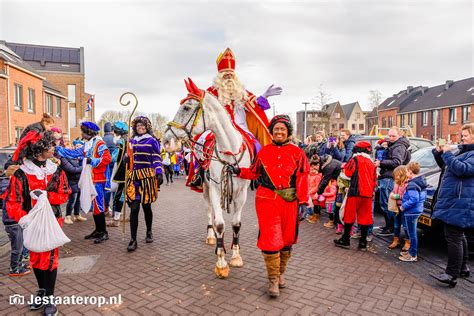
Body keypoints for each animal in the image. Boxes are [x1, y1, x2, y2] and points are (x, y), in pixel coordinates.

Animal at [164, 78, 252, 278]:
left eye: (186, 107)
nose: (166, 141)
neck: (229, 152)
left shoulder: (241, 193)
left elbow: (236, 225)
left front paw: (235, 256)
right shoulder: (214, 188)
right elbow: (219, 224)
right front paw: (221, 263)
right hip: (205, 188)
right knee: (209, 211)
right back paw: (212, 238)